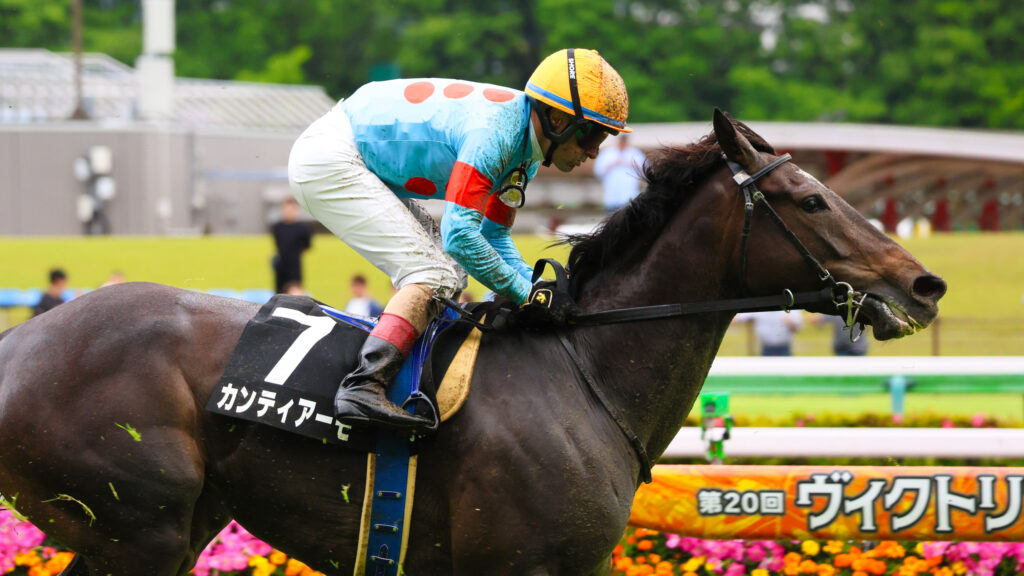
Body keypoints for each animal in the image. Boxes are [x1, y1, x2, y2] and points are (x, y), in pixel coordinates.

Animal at [0, 110, 945, 575]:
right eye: (813, 199)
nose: (923, 285)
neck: (580, 371)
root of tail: (22, 342)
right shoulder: (517, 563)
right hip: (139, 528)